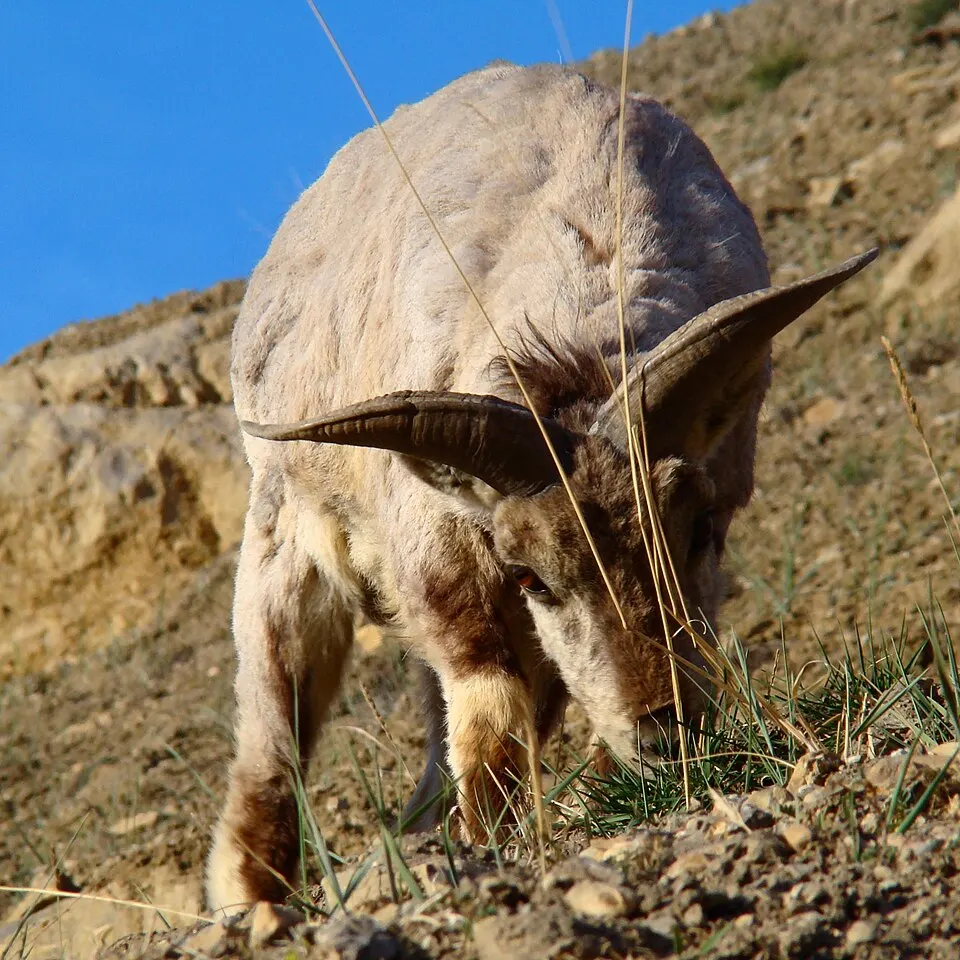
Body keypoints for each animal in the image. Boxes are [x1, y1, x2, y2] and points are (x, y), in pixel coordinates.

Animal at [207, 61, 876, 911]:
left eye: (698, 532)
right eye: (532, 575)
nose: (664, 731)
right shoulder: (447, 562)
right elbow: (491, 710)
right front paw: (492, 847)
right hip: (285, 545)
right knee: (276, 739)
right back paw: (252, 898)